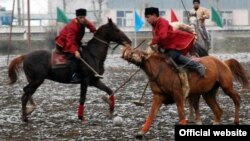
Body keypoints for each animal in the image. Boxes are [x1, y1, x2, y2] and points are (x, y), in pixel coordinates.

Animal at [120, 46, 248, 138]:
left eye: (134, 51)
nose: (125, 53)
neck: (161, 70)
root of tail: (224, 63)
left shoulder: (179, 95)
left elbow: (181, 113)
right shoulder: (158, 96)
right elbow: (151, 114)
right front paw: (141, 132)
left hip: (226, 86)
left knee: (237, 99)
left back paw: (236, 120)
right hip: (208, 93)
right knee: (218, 110)